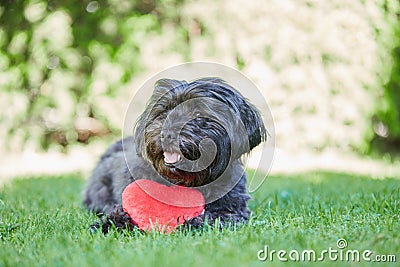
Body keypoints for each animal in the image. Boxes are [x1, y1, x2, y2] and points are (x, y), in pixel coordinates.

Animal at [83, 77, 266, 232]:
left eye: (198, 113)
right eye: (165, 111)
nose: (166, 134)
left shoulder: (233, 209)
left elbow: (217, 217)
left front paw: (190, 222)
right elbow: (120, 211)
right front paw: (108, 224)